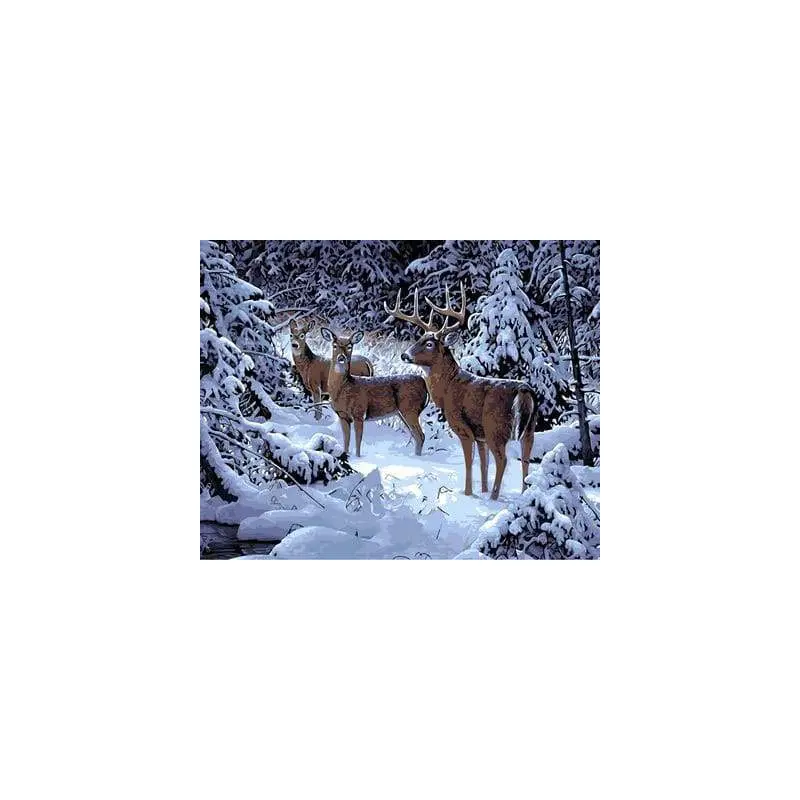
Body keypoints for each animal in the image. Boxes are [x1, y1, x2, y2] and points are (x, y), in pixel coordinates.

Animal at [320, 327, 428, 458]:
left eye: (350, 346)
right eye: (334, 345)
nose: (341, 357)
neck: (344, 388)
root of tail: (424, 383)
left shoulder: (359, 412)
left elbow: (358, 440)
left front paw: (358, 457)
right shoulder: (342, 415)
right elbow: (346, 440)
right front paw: (346, 455)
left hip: (410, 408)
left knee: (420, 435)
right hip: (402, 413)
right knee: (417, 436)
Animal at [385, 283, 537, 501]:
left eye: (429, 344)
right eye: (419, 338)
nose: (404, 355)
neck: (448, 388)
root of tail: (524, 390)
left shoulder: (464, 427)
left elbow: (469, 462)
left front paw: (468, 493)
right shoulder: (480, 435)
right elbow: (483, 464)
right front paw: (482, 490)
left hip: (496, 427)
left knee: (503, 460)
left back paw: (494, 498)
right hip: (529, 429)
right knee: (525, 459)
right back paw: (524, 494)